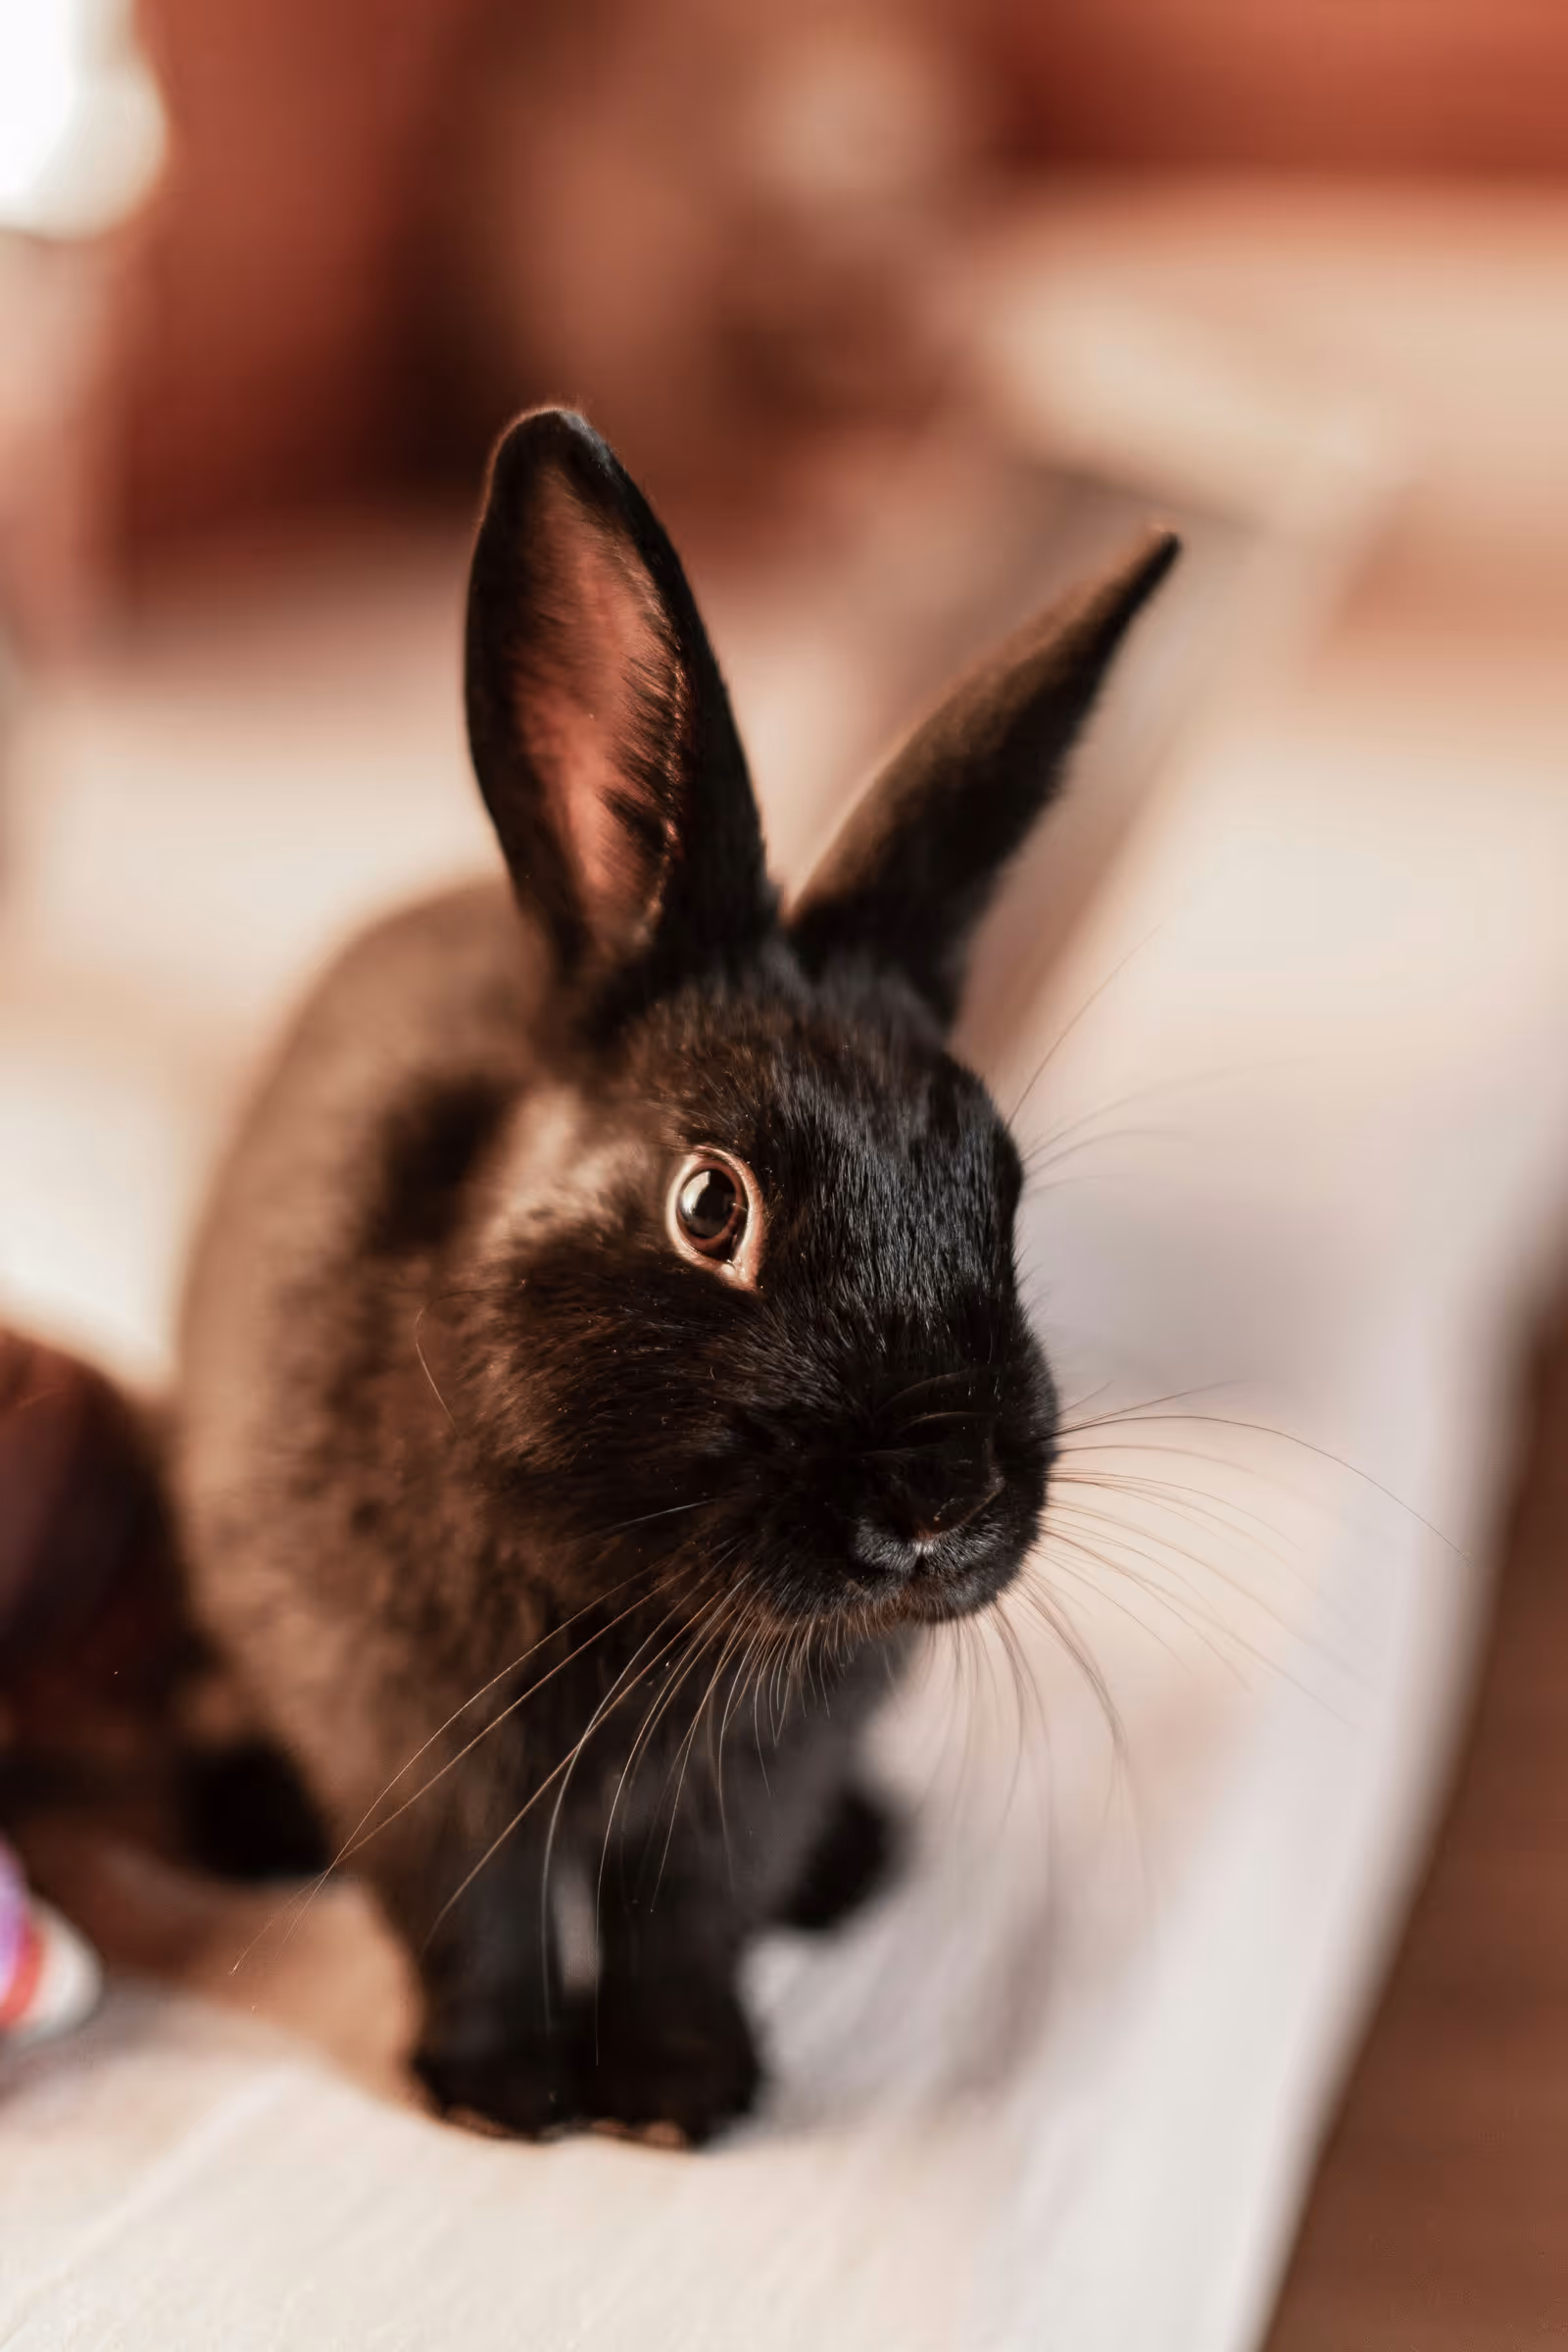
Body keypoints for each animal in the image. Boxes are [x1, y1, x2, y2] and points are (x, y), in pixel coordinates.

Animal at [174, 408, 1176, 2144]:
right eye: (712, 1206)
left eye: (1002, 1191)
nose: (942, 1499)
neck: (649, 1588)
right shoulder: (417, 1766)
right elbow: (477, 1922)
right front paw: (503, 2099)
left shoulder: (741, 1798)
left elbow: (686, 1918)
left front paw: (681, 2100)